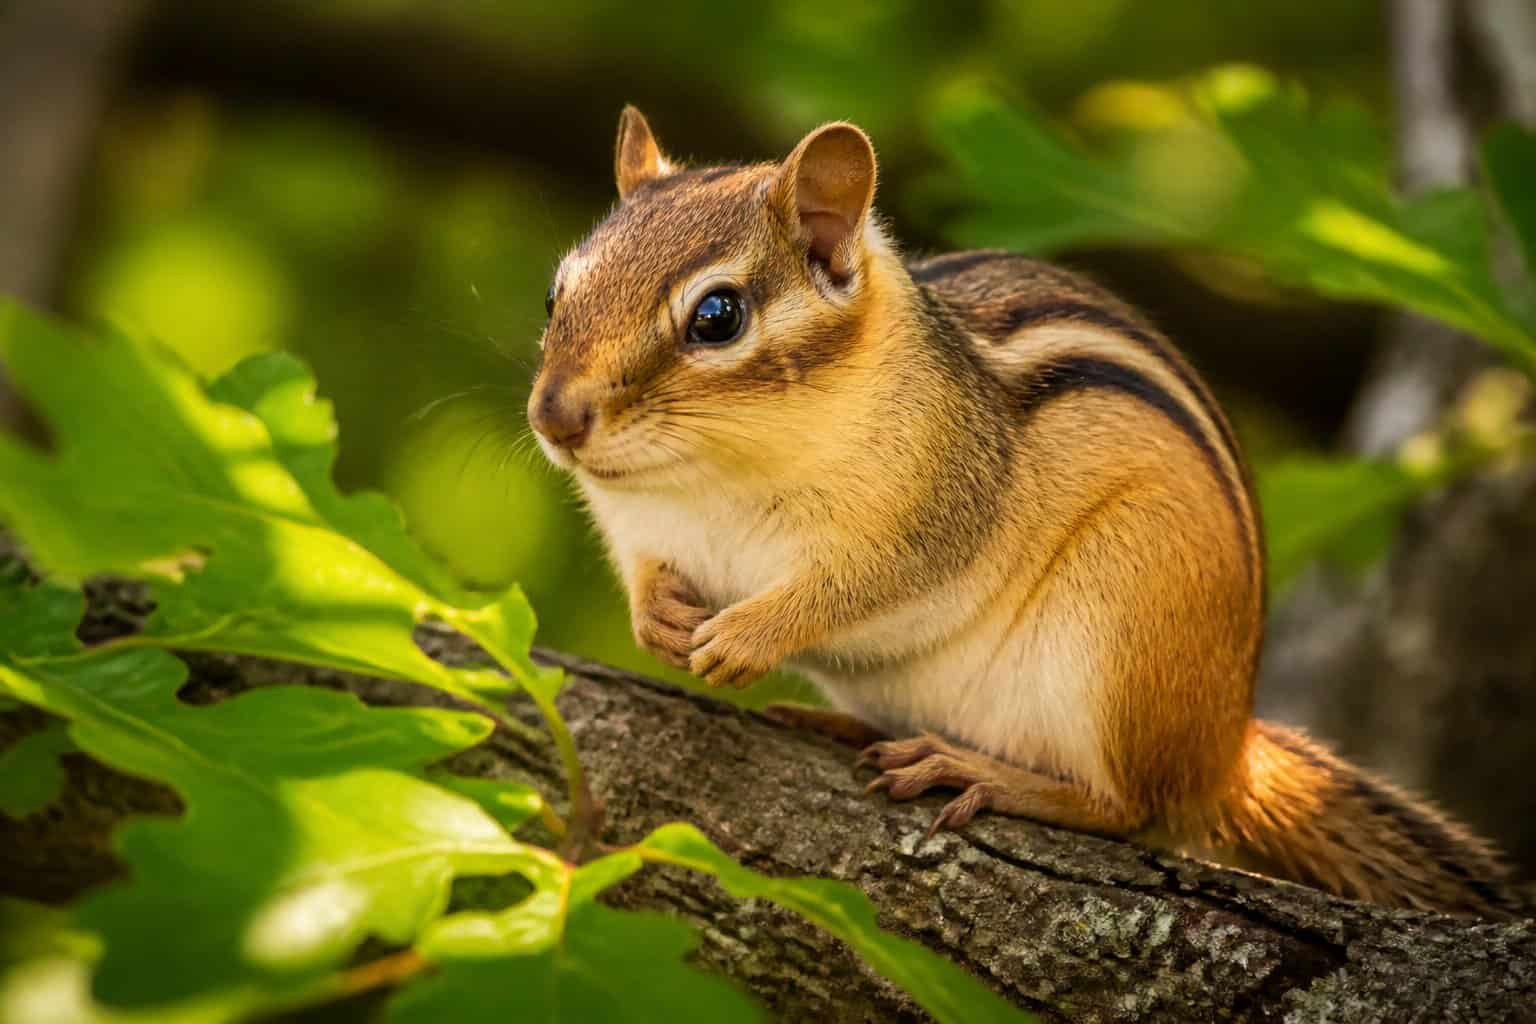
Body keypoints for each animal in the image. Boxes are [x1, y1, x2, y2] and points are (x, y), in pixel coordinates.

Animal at [526, 105, 1522, 918]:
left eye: (718, 317)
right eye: (555, 294)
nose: (554, 418)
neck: (711, 476)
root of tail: (1225, 746)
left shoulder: (935, 507)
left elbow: (857, 585)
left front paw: (749, 633)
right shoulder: (639, 525)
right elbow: (645, 572)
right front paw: (658, 619)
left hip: (1121, 627)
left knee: (1132, 807)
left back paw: (978, 770)